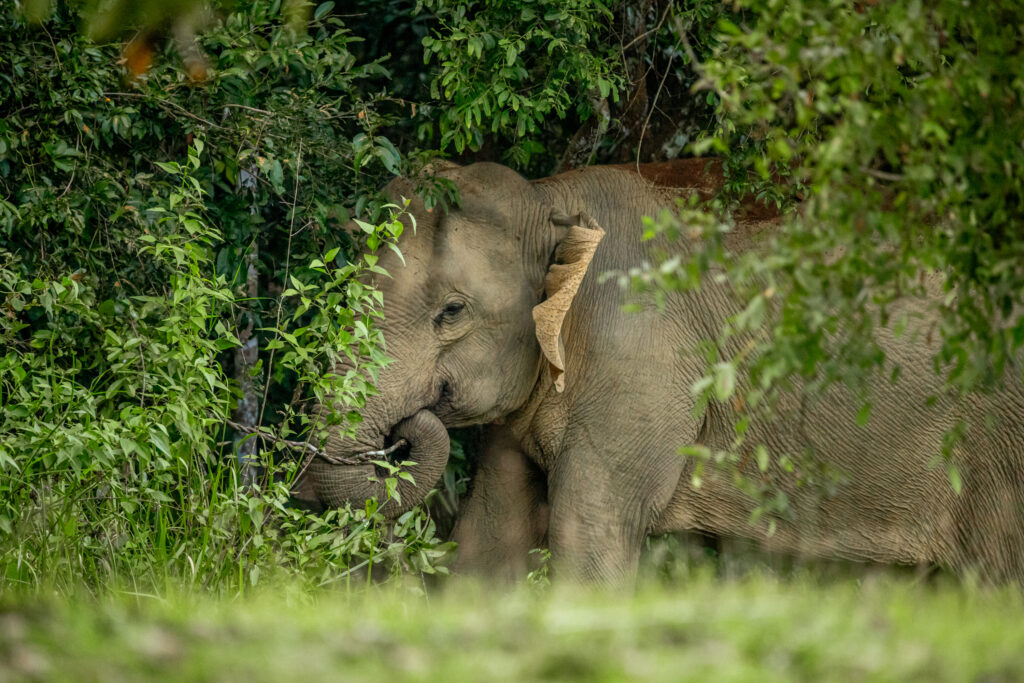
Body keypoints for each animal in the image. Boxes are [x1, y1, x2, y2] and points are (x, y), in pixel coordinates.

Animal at [297, 158, 1024, 584]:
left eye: (451, 312)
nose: (404, 428)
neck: (552, 201)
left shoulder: (638, 361)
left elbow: (585, 534)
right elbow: (491, 538)